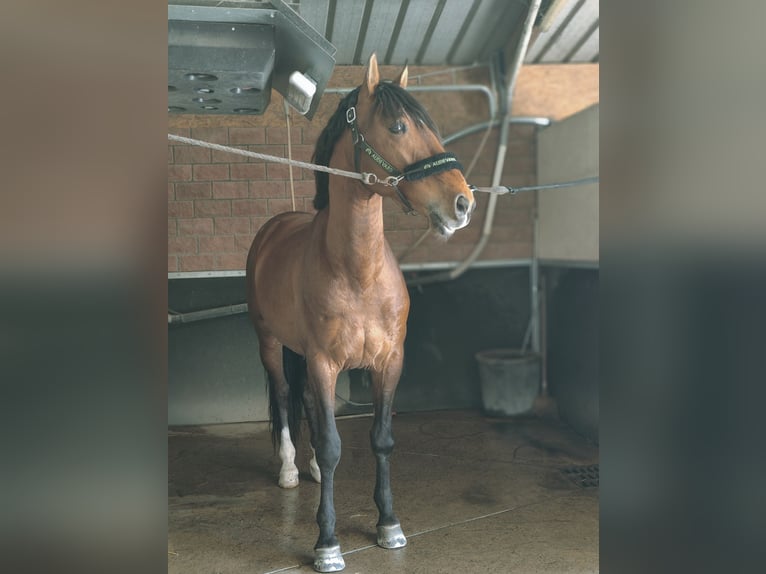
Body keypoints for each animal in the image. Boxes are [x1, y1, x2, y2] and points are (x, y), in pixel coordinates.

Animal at [248, 53, 474, 572]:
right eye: (398, 126)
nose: (463, 204)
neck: (358, 272)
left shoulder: (389, 362)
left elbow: (381, 438)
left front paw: (389, 524)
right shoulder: (323, 362)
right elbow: (335, 445)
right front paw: (327, 542)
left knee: (309, 405)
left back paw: (310, 467)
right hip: (272, 344)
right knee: (286, 394)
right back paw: (290, 469)